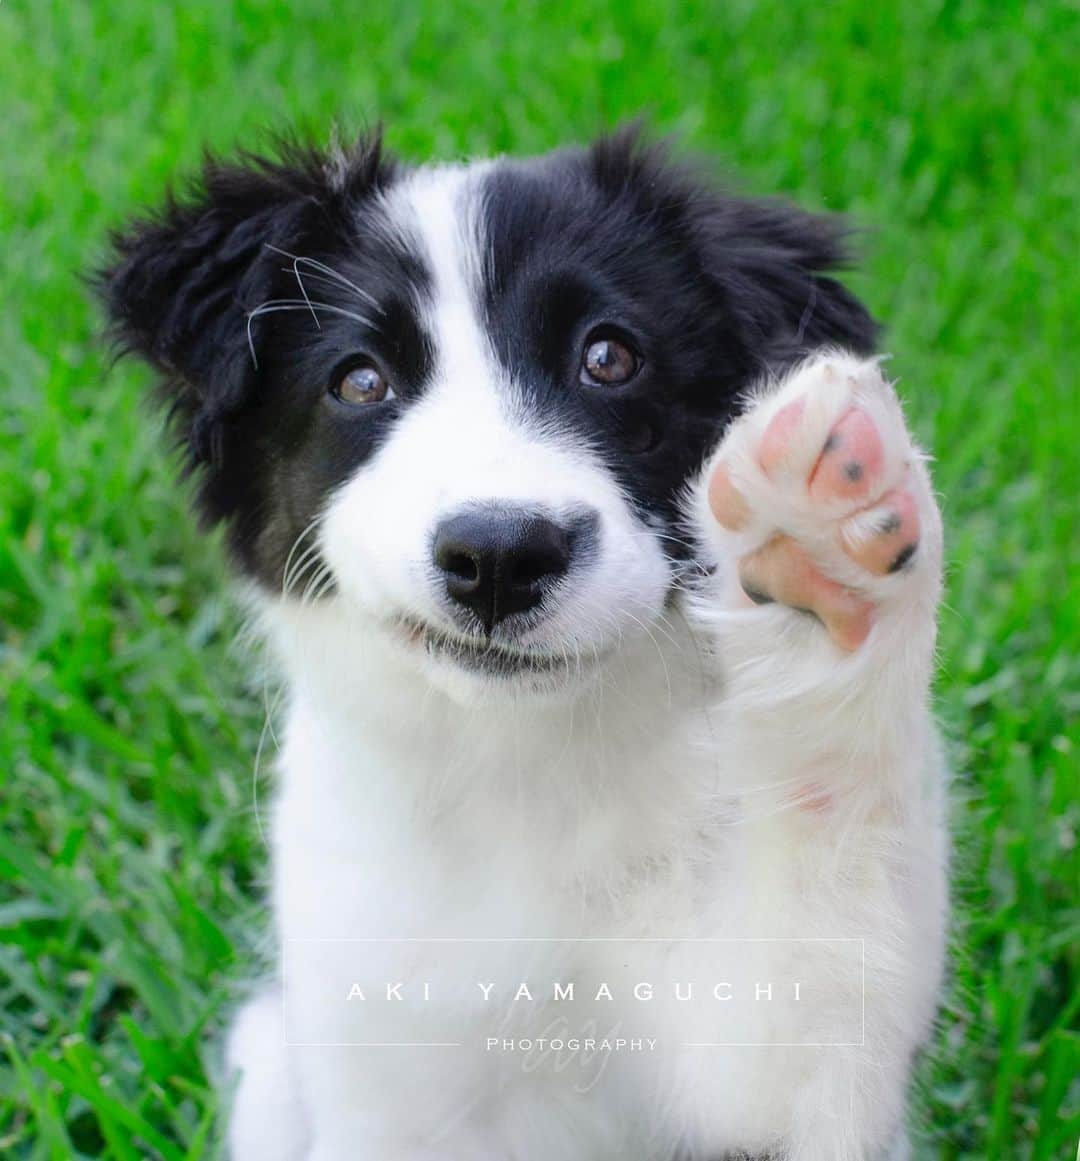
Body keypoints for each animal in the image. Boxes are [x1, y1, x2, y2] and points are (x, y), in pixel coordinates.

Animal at [98, 127, 942, 1161]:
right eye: (359, 380)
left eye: (610, 356)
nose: (500, 554)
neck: (524, 761)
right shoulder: (376, 1047)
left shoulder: (772, 1077)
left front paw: (818, 551)